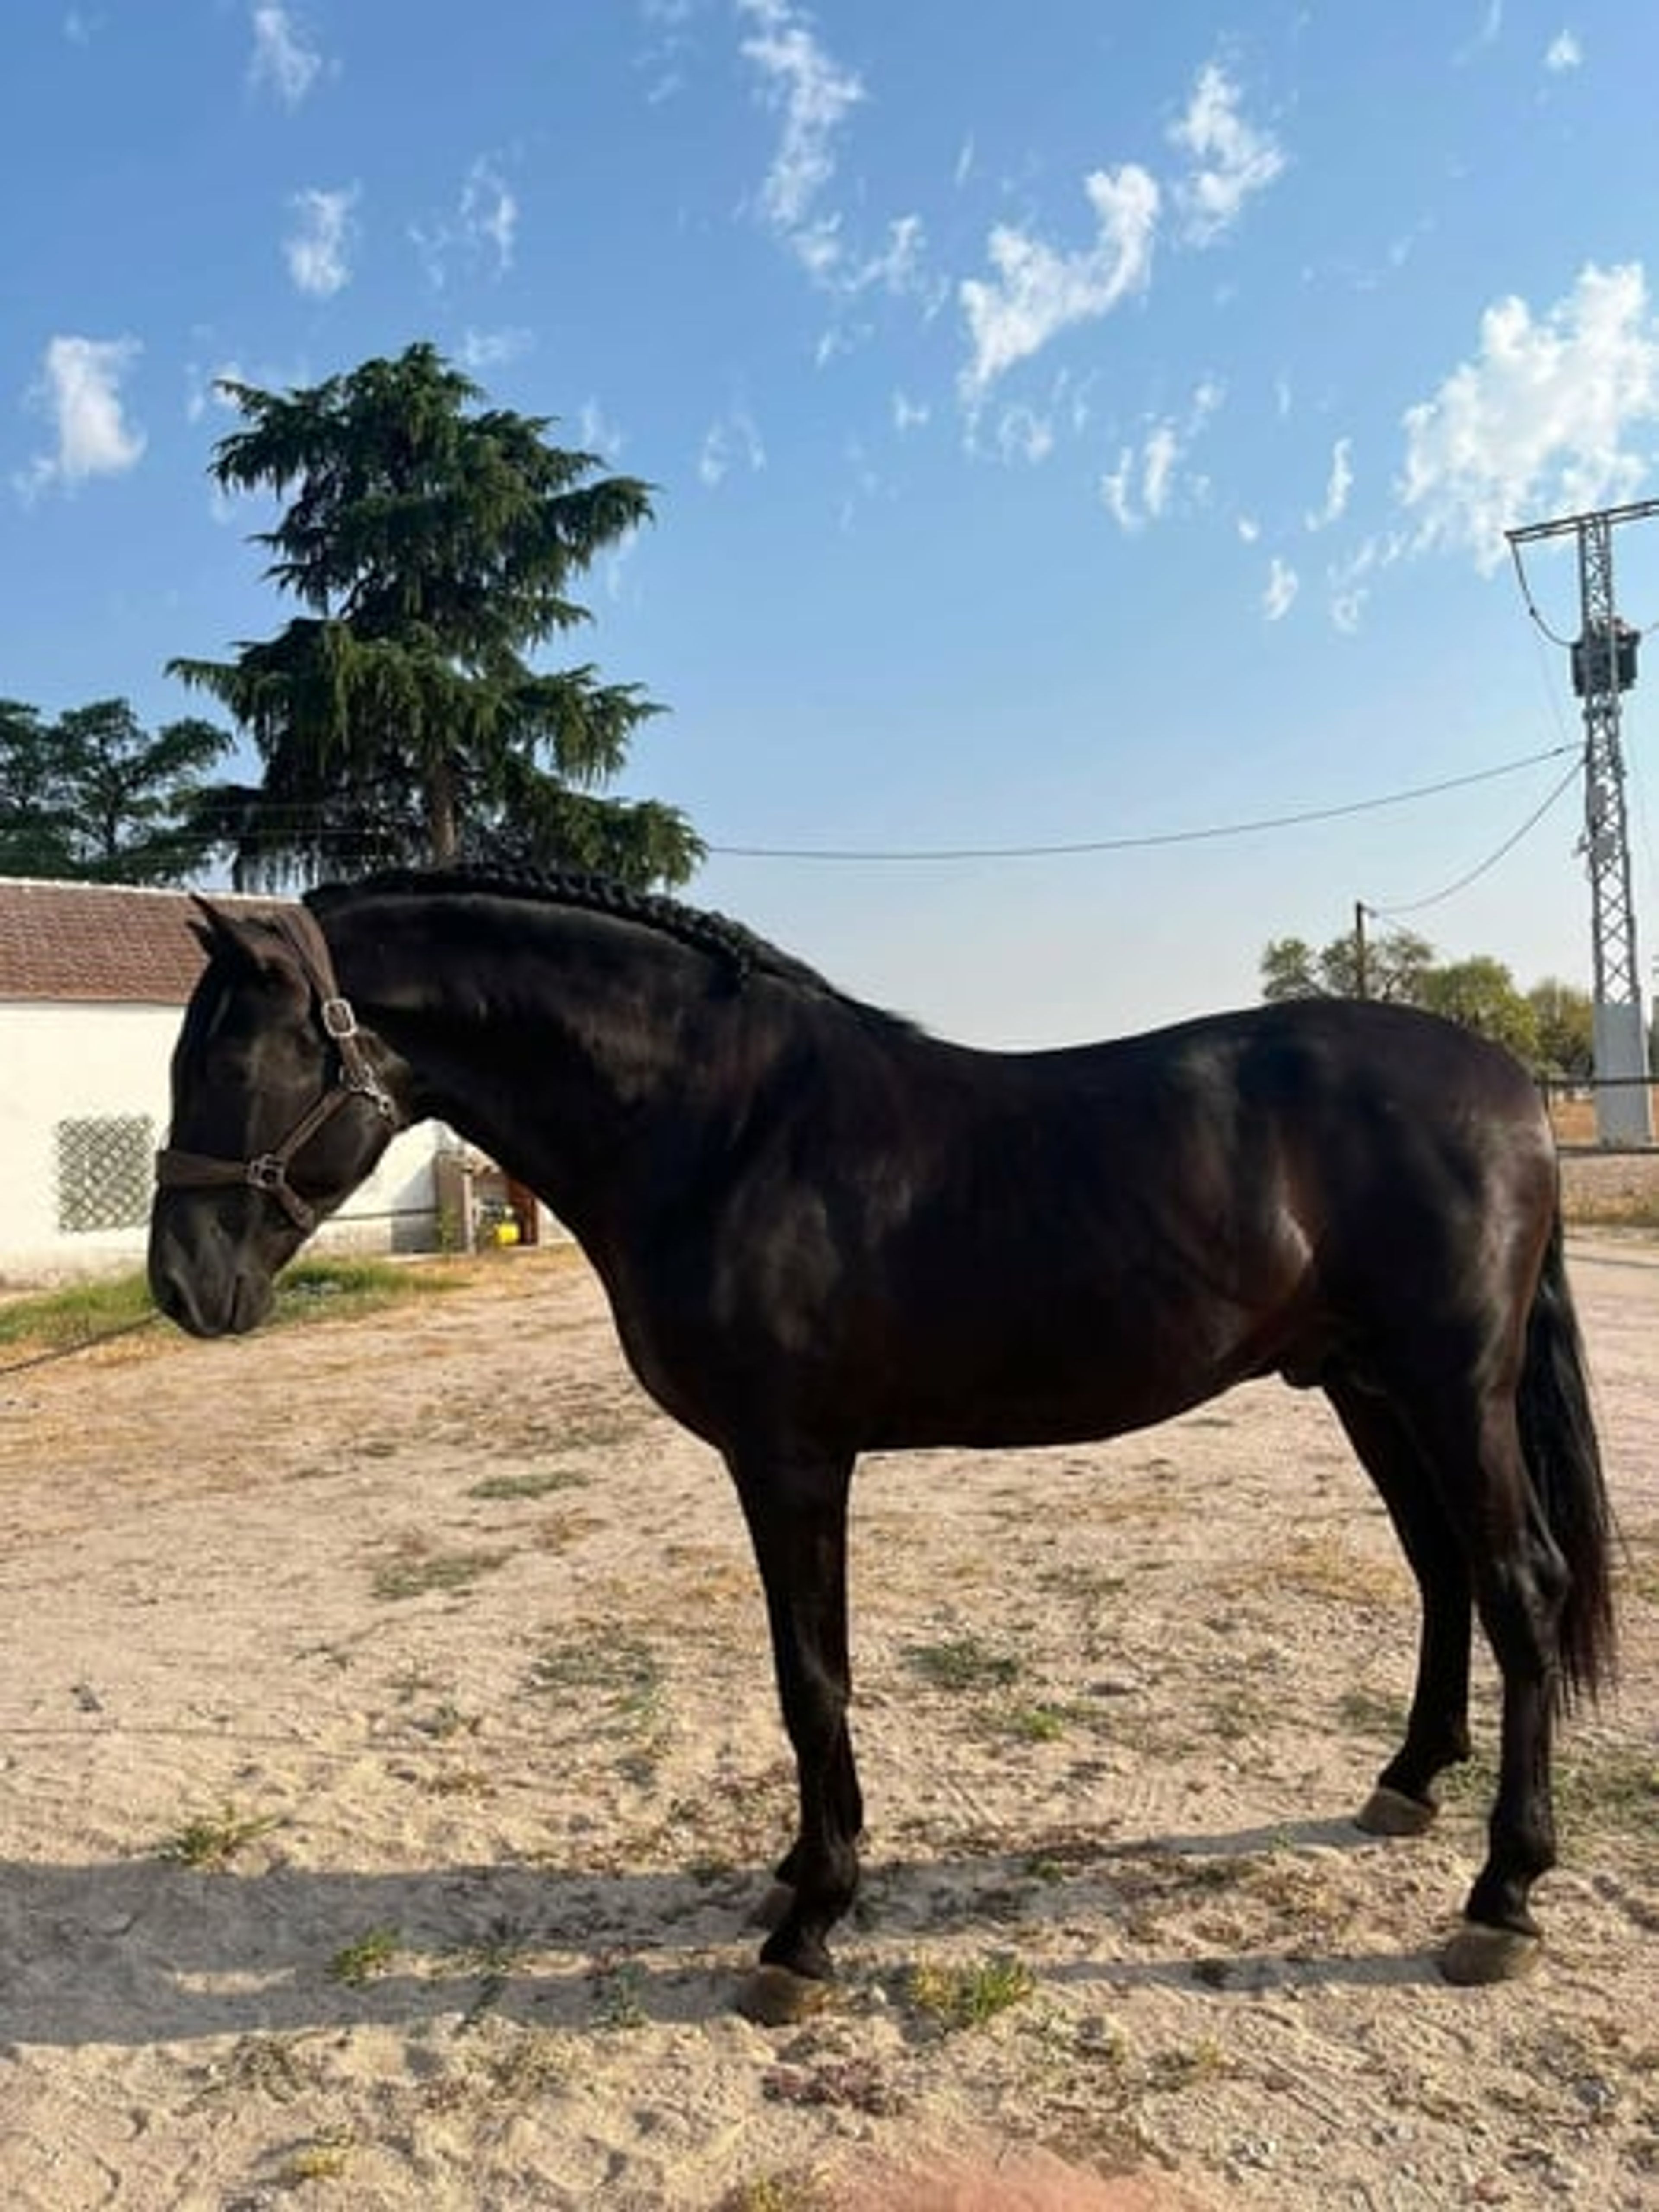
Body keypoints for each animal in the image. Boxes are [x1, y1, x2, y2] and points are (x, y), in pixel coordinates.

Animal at [148, 868, 1617, 2021]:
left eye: (231, 1061)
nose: (183, 1286)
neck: (722, 1127)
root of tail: (1506, 1084)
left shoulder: (790, 1458)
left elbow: (812, 1681)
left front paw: (808, 1926)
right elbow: (810, 1680)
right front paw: (803, 1880)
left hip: (1448, 1385)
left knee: (1519, 1584)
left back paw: (1499, 1896)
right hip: (1364, 1385)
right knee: (1441, 1570)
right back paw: (1405, 1786)